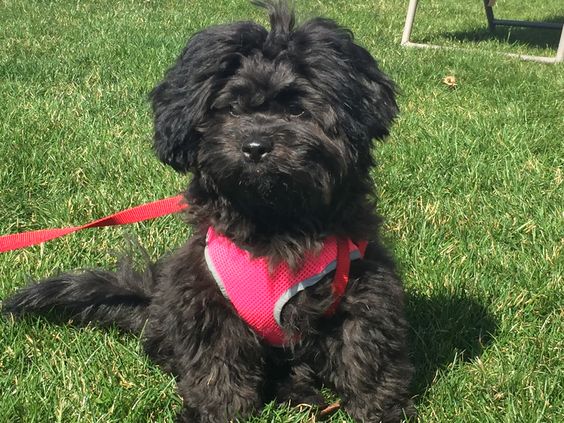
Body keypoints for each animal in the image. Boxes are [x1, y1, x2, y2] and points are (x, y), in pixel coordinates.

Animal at [3, 1, 414, 422]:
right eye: (231, 109)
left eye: (298, 111)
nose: (255, 145)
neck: (274, 220)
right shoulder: (204, 295)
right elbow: (217, 365)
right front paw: (214, 412)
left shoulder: (363, 286)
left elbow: (365, 353)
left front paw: (380, 410)